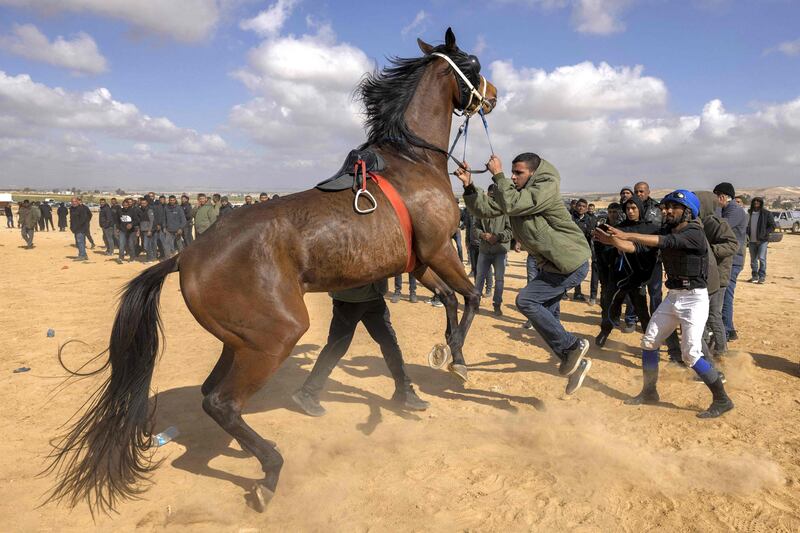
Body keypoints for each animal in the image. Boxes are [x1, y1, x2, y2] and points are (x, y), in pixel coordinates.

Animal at [47, 28, 496, 512]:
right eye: (473, 63)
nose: (492, 95)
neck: (411, 164)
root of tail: (187, 255)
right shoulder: (440, 249)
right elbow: (471, 295)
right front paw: (458, 359)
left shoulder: (419, 261)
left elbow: (449, 299)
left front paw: (446, 355)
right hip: (276, 336)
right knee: (222, 403)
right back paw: (270, 471)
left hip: (240, 341)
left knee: (211, 394)